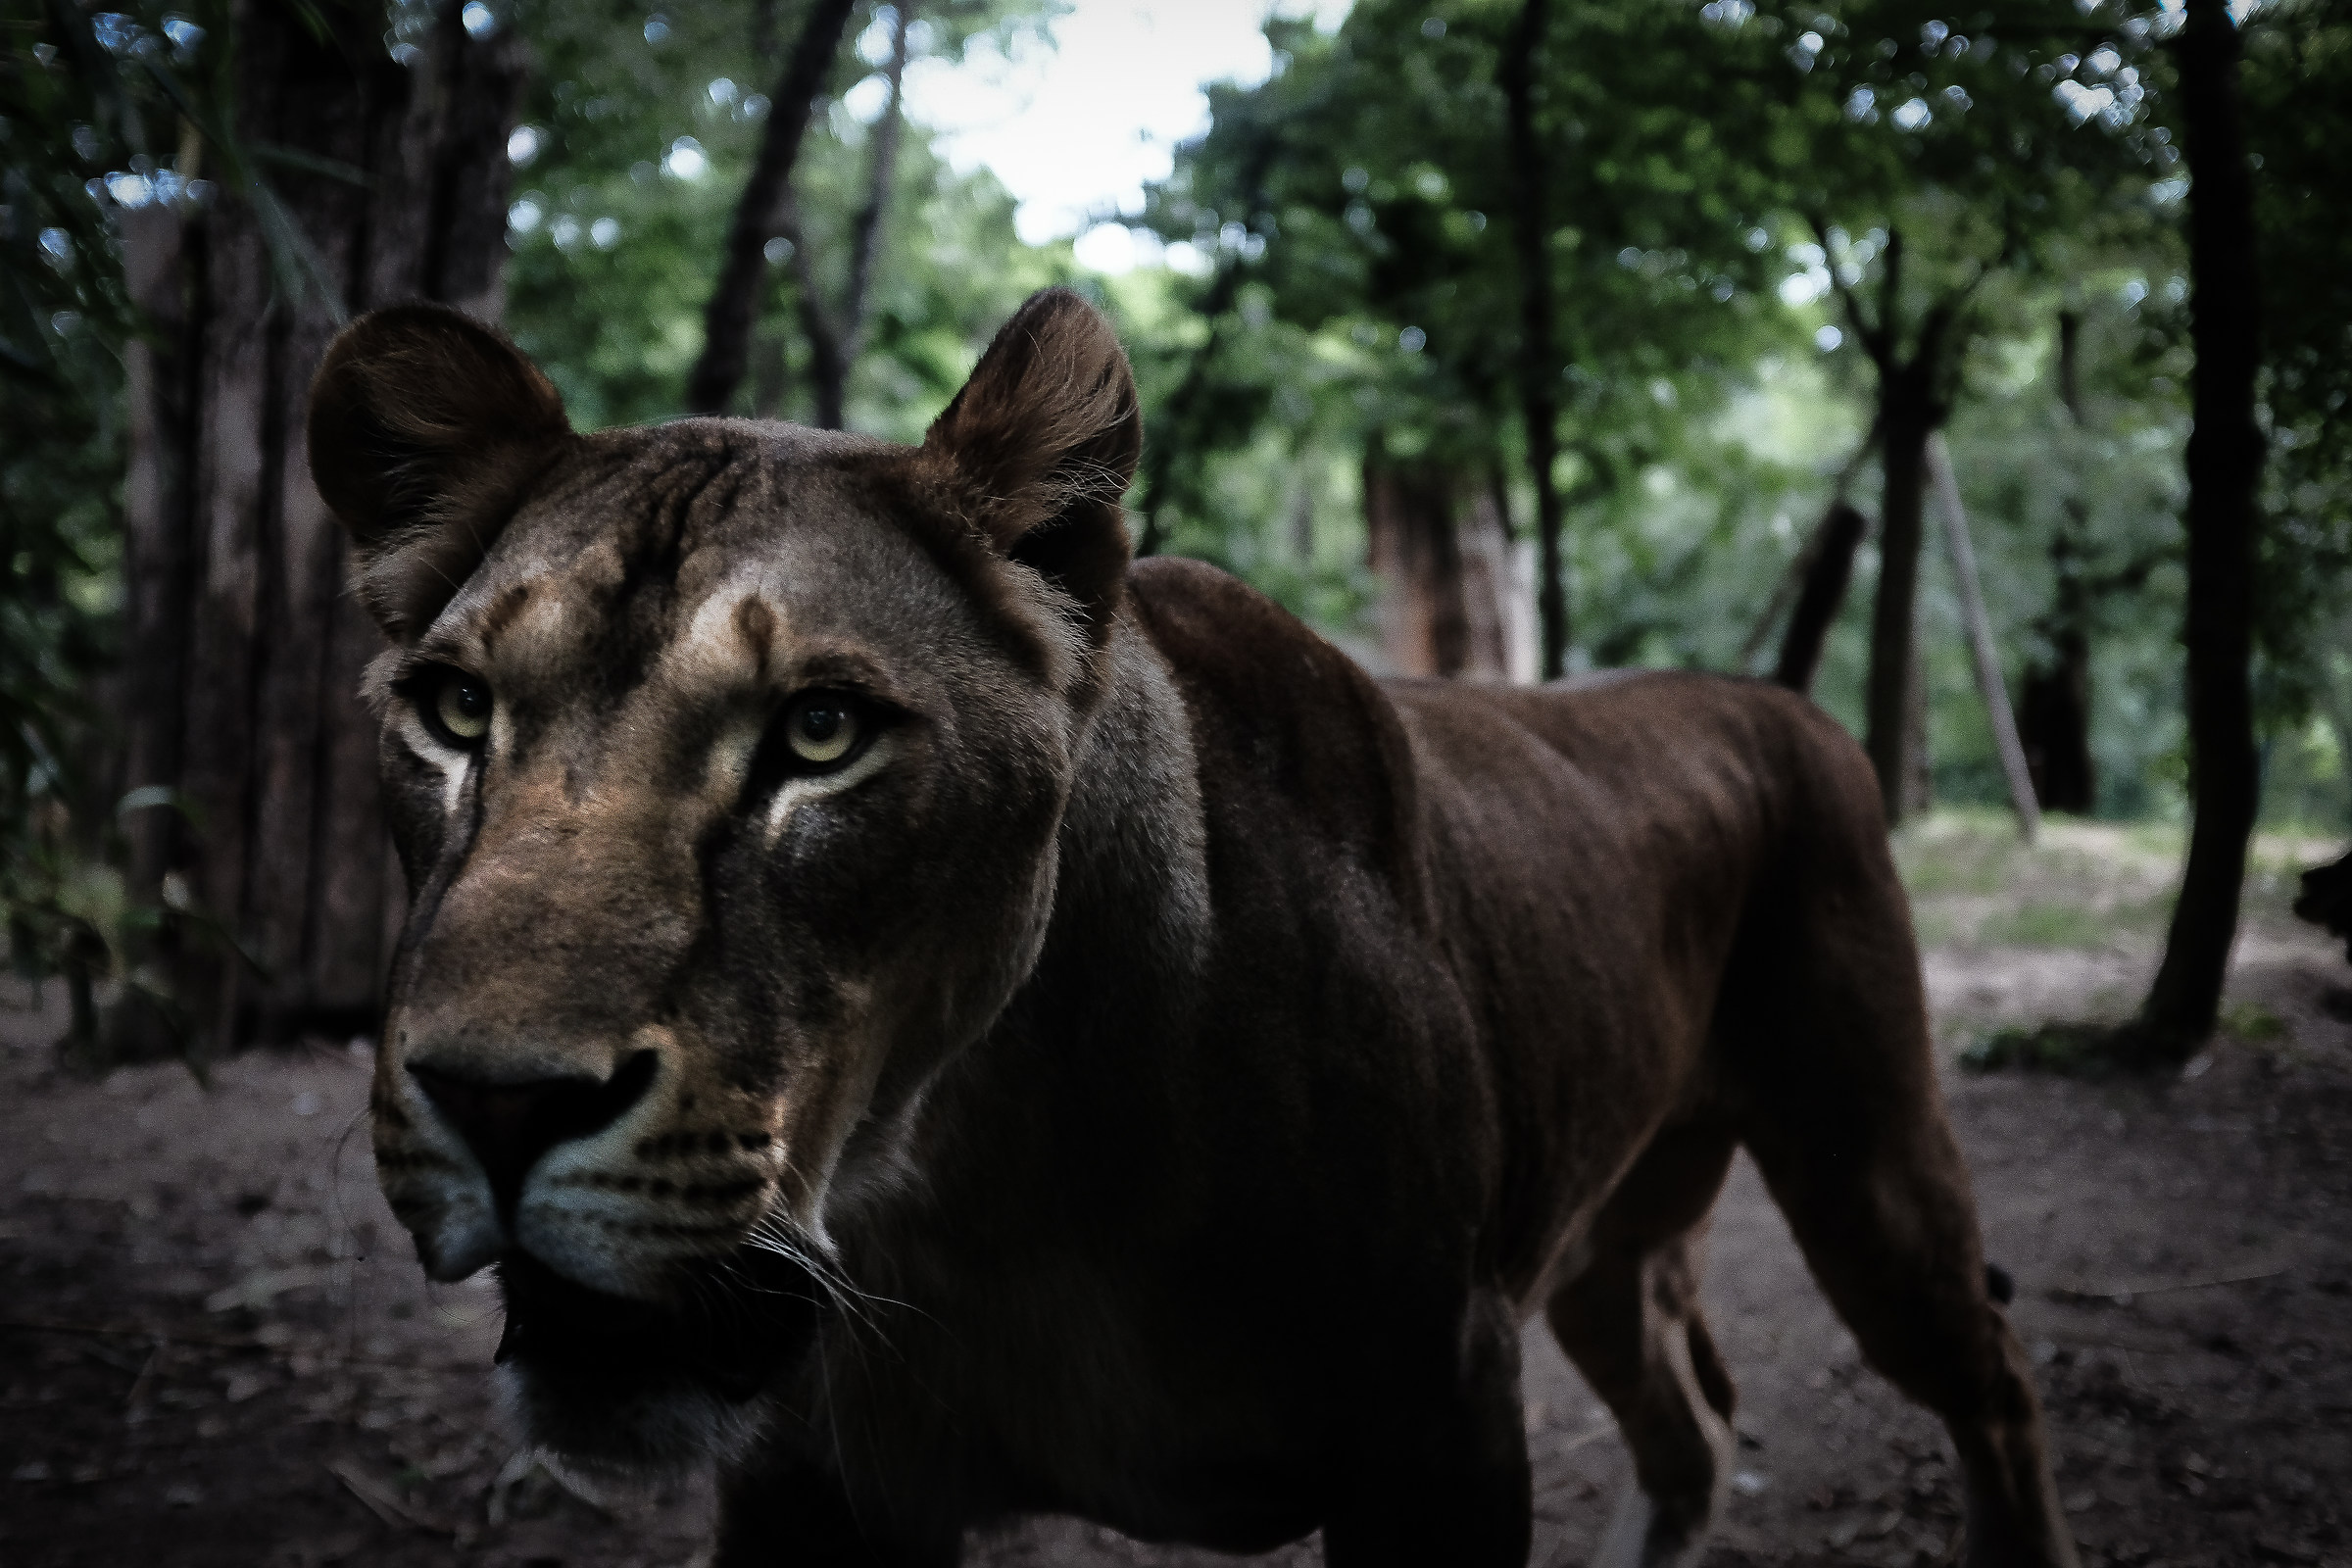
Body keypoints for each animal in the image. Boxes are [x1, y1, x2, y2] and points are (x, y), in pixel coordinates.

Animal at [306, 289, 2077, 1568]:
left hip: (1866, 1162)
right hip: (1602, 1238)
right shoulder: (816, 1484)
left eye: (820, 734)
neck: (979, 1188)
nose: (498, 1103)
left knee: (1990, 1374)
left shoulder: (1438, 1423)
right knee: (1690, 1435)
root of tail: (1769, 697)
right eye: (454, 713)